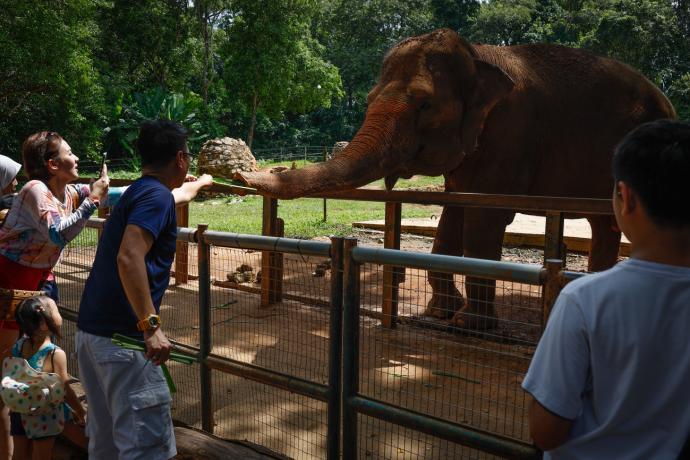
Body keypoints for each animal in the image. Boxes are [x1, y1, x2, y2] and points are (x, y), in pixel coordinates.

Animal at [235, 28, 672, 328]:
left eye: (425, 105)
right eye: (371, 98)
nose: (242, 170)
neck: (479, 55)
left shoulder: (510, 132)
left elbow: (482, 218)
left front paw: (469, 325)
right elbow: (452, 212)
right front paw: (439, 314)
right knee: (604, 224)